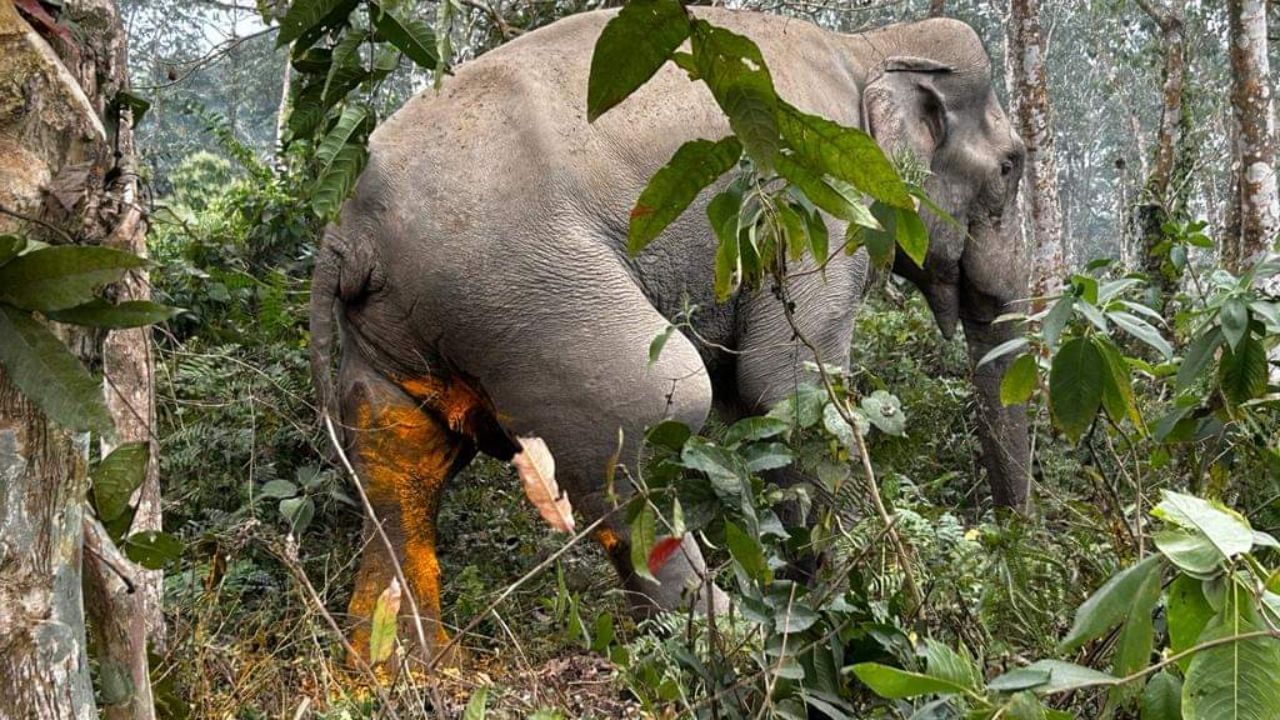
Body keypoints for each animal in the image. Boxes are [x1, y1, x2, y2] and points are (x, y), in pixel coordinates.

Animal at [309, 5, 1029, 666]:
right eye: (1011, 167)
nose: (1009, 549)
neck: (868, 47)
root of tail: (348, 237)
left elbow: (750, 403)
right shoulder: (813, 200)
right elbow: (784, 388)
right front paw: (859, 610)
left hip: (404, 329)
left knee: (402, 466)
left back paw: (399, 675)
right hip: (525, 297)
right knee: (654, 411)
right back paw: (735, 653)